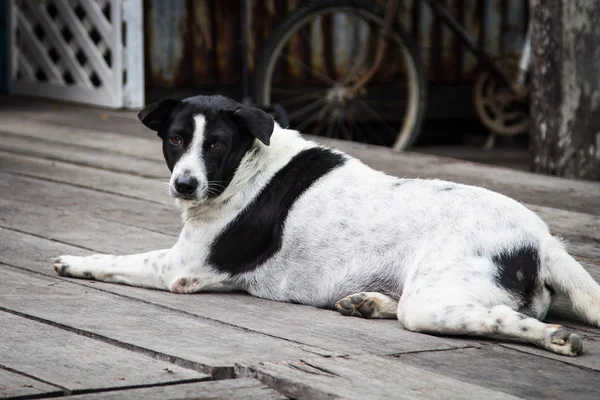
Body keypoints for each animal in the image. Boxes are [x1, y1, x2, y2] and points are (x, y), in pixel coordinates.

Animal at [52, 94, 600, 356]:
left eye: (217, 144)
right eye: (175, 139)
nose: (185, 185)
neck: (250, 164)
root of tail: (542, 239)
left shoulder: (179, 267)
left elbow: (115, 259)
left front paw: (73, 261)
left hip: (432, 301)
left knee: (502, 319)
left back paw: (555, 338)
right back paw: (366, 301)